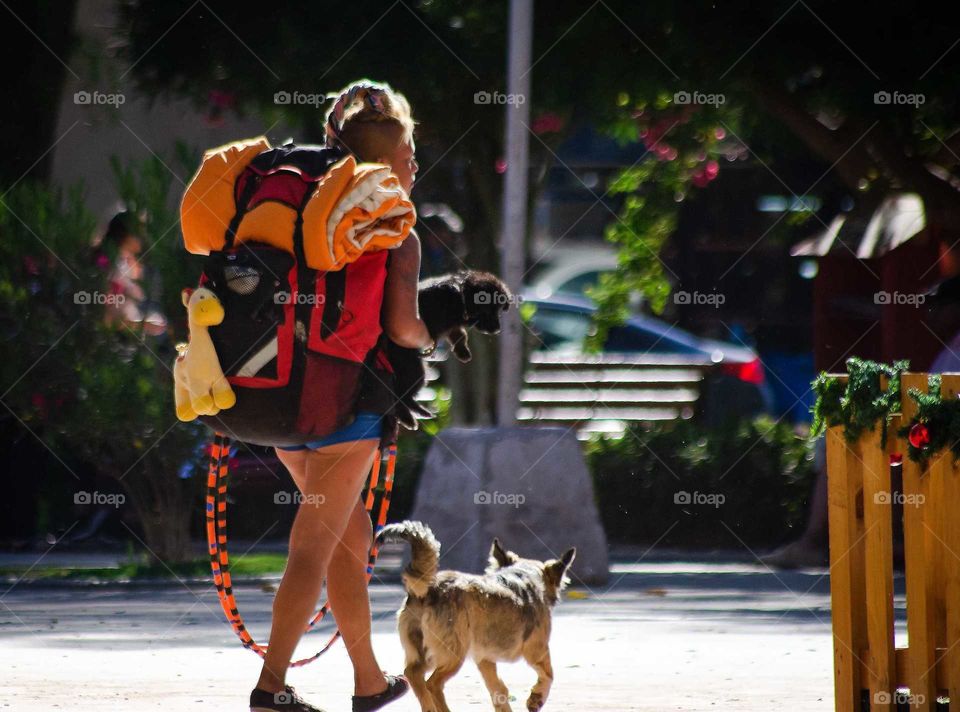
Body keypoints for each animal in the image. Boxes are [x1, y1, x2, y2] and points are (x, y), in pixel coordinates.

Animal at [376, 520, 568, 712]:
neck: (524, 574)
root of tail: (430, 588)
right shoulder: (537, 650)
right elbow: (548, 674)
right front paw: (537, 698)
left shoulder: (485, 659)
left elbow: (498, 690)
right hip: (453, 653)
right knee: (433, 683)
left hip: (427, 651)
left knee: (413, 674)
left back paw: (429, 707)